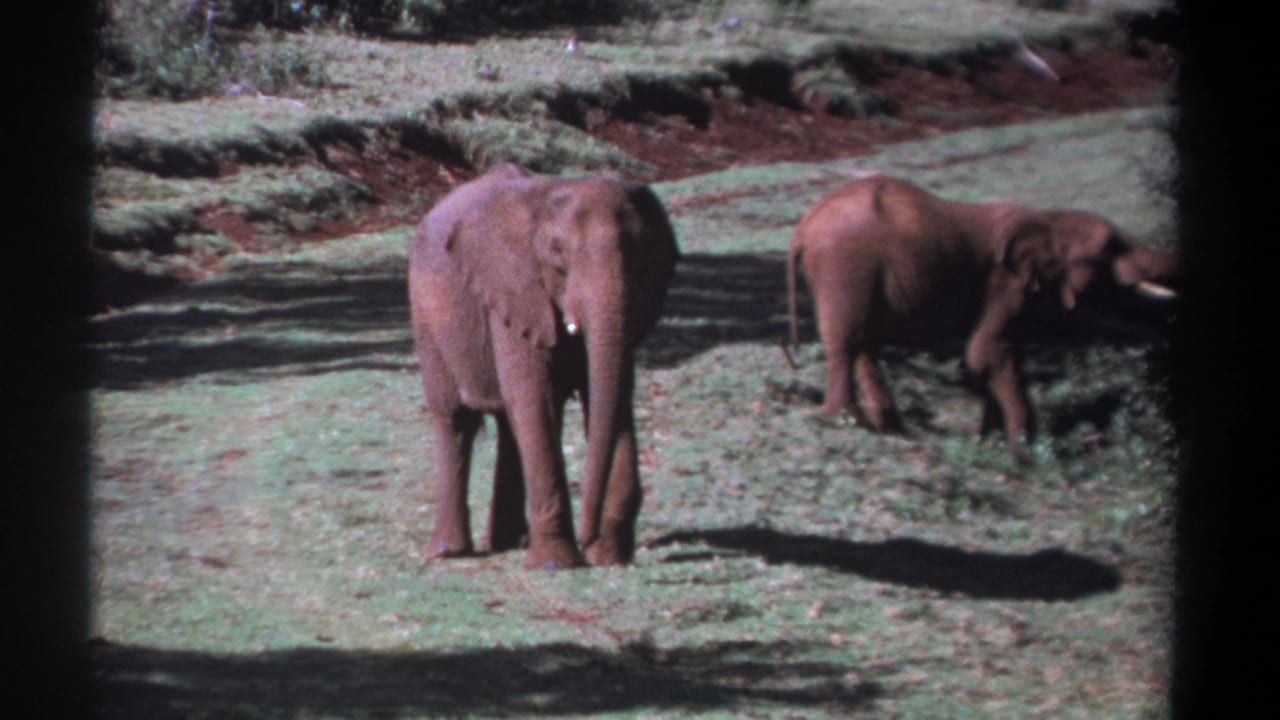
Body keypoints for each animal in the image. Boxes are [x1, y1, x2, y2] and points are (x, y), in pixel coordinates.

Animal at [408, 163, 679, 570]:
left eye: (640, 250)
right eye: (557, 251)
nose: (589, 536)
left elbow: (611, 398)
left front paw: (609, 556)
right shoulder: (512, 292)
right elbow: (535, 400)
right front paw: (557, 564)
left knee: (507, 423)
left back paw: (510, 541)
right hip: (428, 322)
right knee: (456, 420)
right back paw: (450, 553)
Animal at [786, 174, 1176, 455]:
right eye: (1111, 248)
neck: (1046, 219)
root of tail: (805, 226)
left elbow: (998, 355)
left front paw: (991, 444)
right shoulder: (1006, 281)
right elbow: (986, 351)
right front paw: (1023, 455)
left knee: (865, 342)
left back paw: (889, 428)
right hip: (846, 264)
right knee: (847, 340)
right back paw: (843, 420)